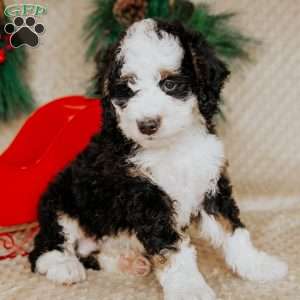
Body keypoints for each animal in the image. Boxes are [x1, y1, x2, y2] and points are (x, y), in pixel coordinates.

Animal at [28, 19, 288, 300]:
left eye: (169, 85)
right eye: (127, 90)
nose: (147, 125)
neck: (173, 146)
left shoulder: (210, 184)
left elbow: (233, 230)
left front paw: (257, 265)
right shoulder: (146, 197)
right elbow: (174, 249)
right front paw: (189, 288)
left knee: (91, 254)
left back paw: (128, 262)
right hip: (61, 201)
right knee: (46, 246)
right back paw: (64, 266)